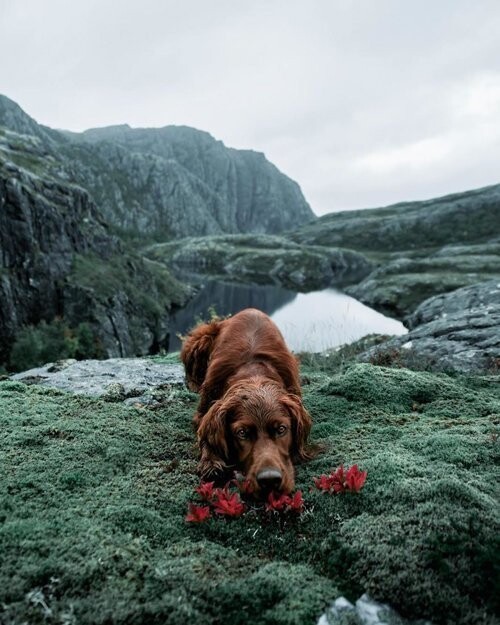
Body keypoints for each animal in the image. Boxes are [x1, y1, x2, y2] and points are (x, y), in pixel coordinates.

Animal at [180, 304, 314, 494]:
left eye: (281, 429)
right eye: (241, 433)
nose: (270, 480)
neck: (253, 371)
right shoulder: (203, 412)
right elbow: (205, 437)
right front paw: (211, 463)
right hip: (201, 336)